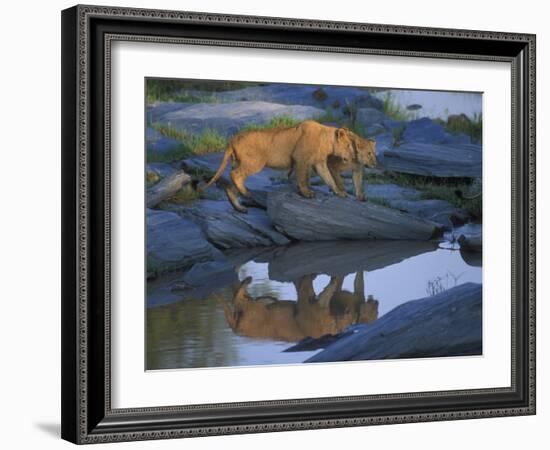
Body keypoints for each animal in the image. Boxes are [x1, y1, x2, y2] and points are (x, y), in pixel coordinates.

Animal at [202, 120, 354, 214]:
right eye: (348, 145)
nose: (353, 157)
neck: (327, 141)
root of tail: (232, 139)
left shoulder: (318, 163)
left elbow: (329, 178)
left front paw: (340, 192)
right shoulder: (300, 159)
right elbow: (303, 178)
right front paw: (306, 193)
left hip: (237, 162)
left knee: (230, 185)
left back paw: (239, 207)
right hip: (256, 162)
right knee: (235, 175)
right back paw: (246, 194)